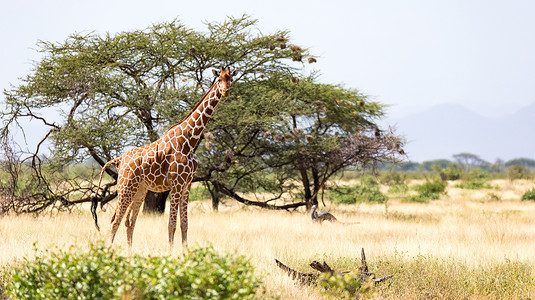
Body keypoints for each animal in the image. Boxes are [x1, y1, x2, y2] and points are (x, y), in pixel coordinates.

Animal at [95, 67, 238, 248]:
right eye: (219, 79)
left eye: (230, 78)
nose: (226, 91)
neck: (189, 140)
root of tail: (119, 160)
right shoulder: (176, 184)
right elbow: (172, 224)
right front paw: (170, 252)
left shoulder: (187, 184)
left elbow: (184, 224)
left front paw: (185, 251)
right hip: (125, 186)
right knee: (115, 220)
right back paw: (108, 251)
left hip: (139, 189)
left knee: (129, 221)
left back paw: (130, 251)